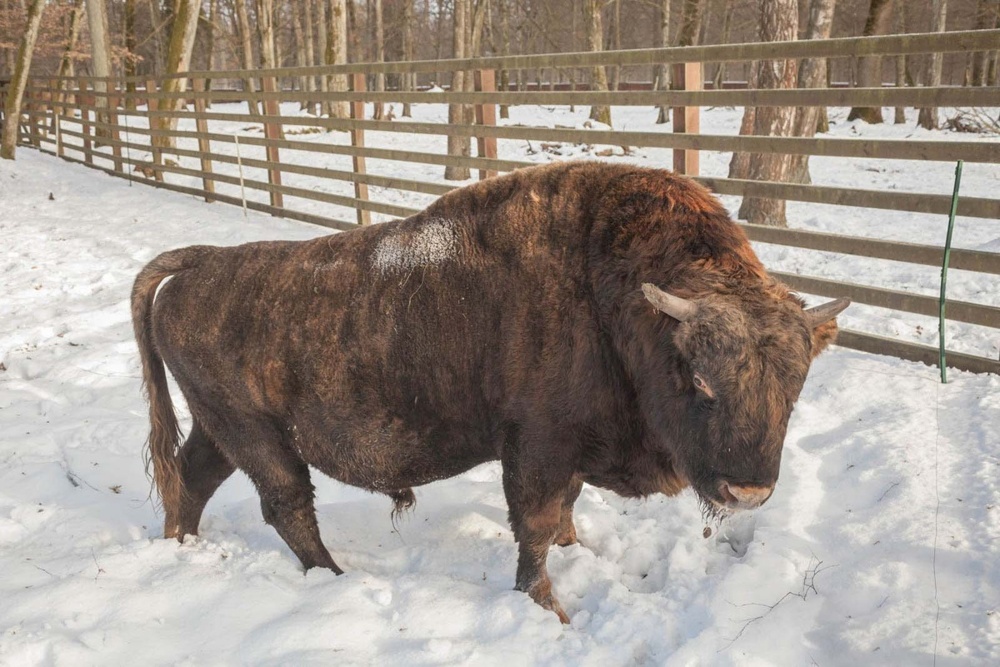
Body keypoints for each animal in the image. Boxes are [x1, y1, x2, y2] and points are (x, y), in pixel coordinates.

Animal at [133, 160, 848, 620]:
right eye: (698, 378)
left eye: (796, 383)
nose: (747, 491)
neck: (613, 299)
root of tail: (200, 263)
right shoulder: (536, 449)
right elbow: (534, 527)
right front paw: (549, 611)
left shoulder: (570, 455)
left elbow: (563, 517)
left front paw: (576, 557)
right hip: (256, 436)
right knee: (286, 505)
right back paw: (336, 579)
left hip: (221, 430)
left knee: (193, 479)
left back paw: (182, 545)